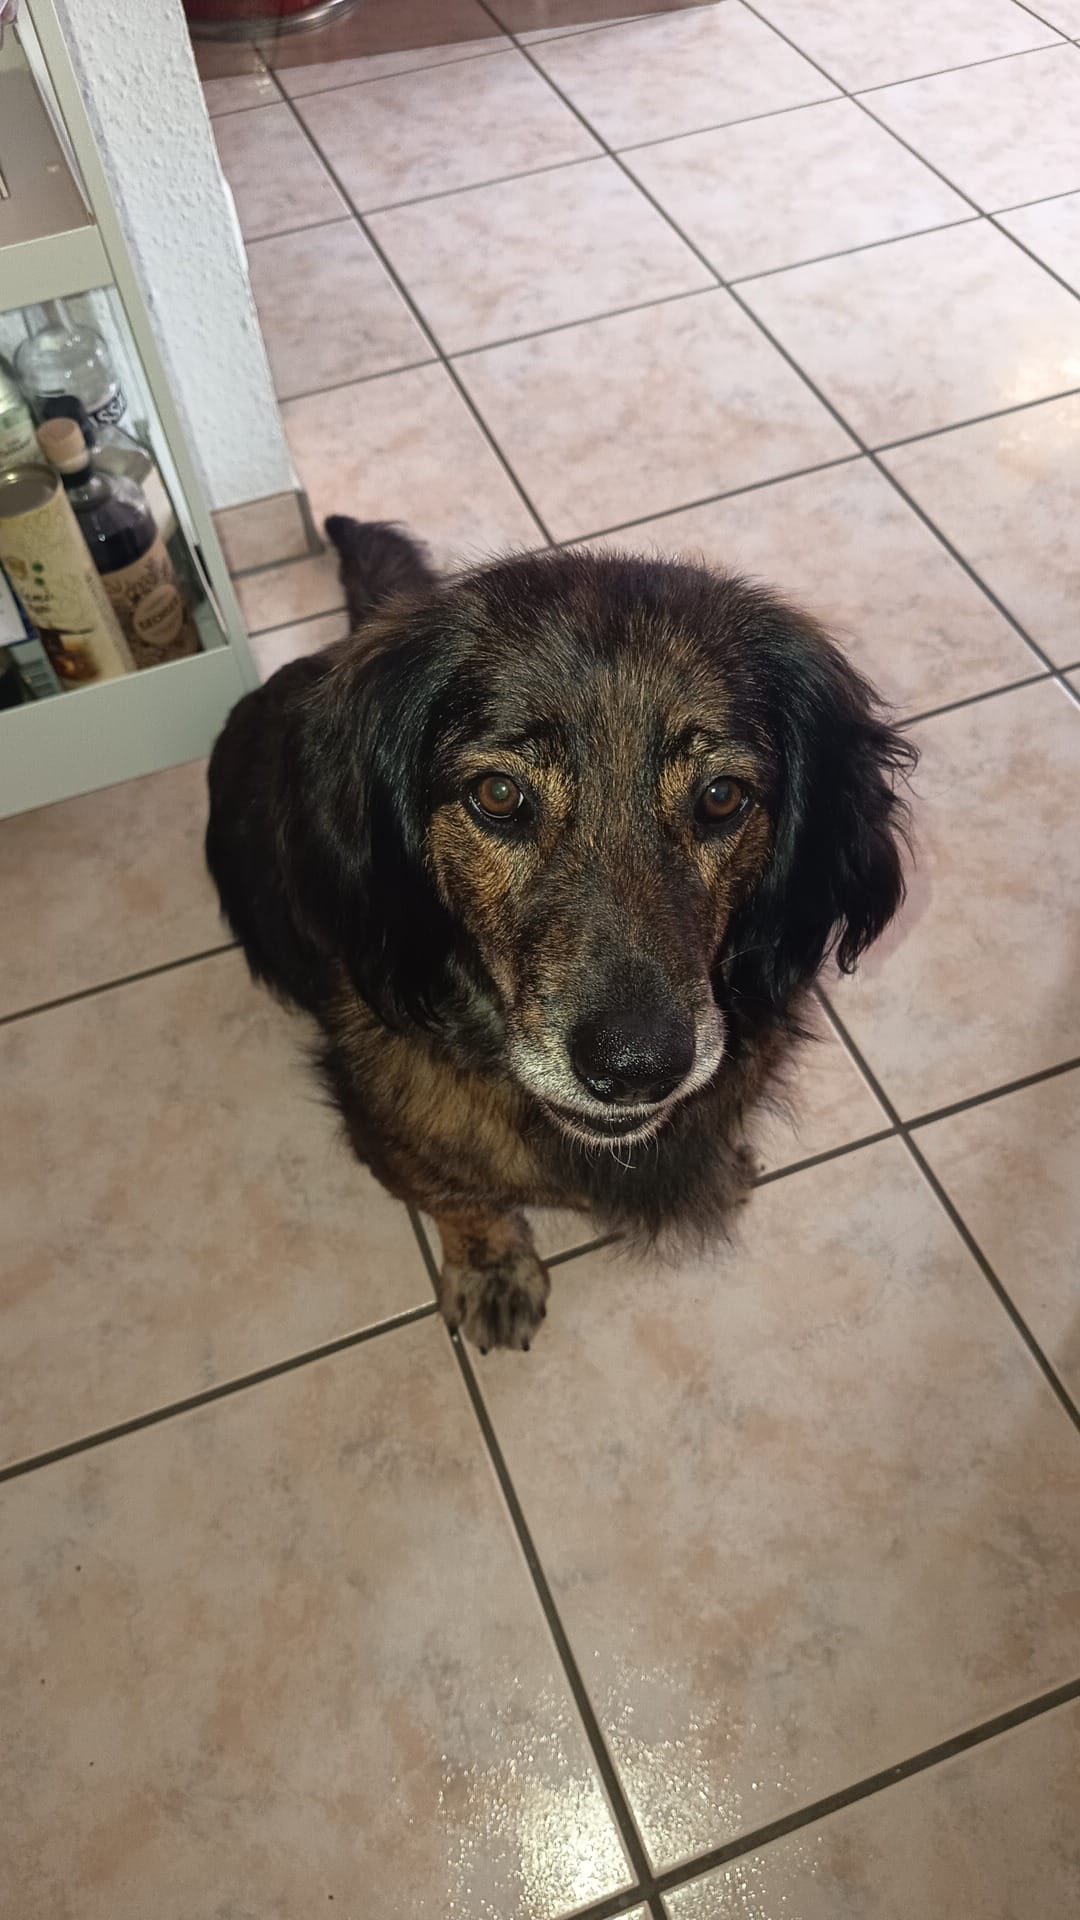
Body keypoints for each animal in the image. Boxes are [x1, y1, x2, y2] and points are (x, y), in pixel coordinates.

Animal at [207, 518, 913, 1352]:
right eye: (498, 795)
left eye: (721, 797)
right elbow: (459, 1198)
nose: (637, 1068)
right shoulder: (389, 1131)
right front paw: (491, 1265)